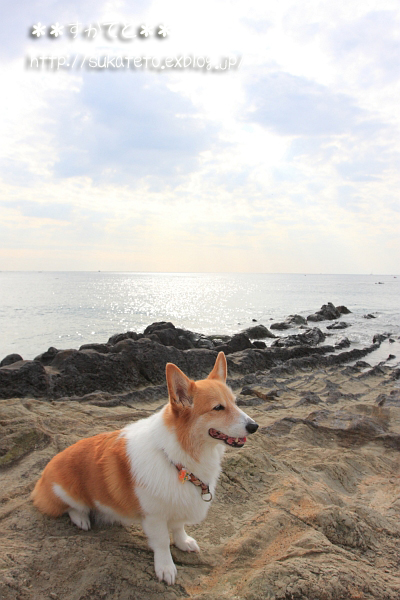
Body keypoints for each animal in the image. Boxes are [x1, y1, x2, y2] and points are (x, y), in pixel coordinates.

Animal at [31, 354, 260, 584]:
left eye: (235, 403)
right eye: (218, 408)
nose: (254, 427)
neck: (178, 457)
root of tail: (44, 475)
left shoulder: (178, 504)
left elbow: (178, 528)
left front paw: (183, 542)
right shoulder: (154, 515)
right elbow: (162, 543)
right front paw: (166, 568)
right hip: (66, 491)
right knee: (70, 507)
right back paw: (81, 519)